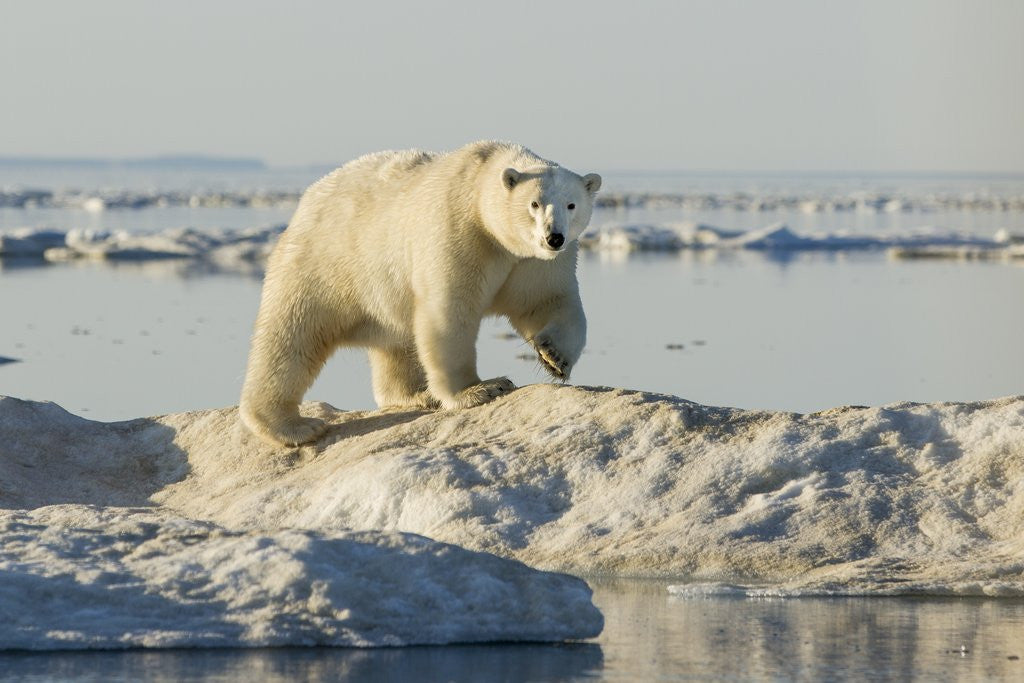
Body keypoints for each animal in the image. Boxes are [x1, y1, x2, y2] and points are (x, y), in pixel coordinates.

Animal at [239, 141, 601, 446]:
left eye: (571, 204)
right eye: (534, 203)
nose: (553, 237)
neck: (477, 186)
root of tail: (307, 201)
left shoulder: (530, 261)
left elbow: (547, 300)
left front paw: (555, 356)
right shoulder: (459, 231)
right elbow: (449, 313)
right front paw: (482, 388)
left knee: (397, 342)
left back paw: (416, 395)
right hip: (325, 263)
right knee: (293, 335)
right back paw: (295, 426)